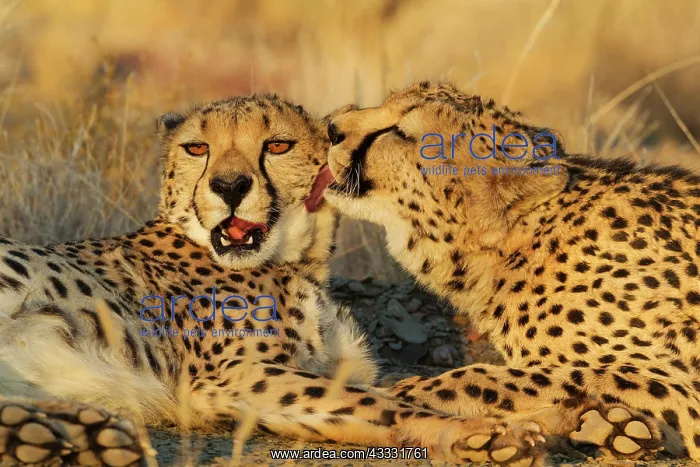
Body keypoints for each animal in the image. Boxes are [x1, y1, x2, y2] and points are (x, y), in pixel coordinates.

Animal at [0, 93, 546, 466]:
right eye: (197, 148)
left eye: (277, 145)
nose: (229, 185)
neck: (296, 262)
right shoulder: (229, 378)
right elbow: (380, 400)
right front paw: (482, 433)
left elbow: (381, 398)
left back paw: (76, 438)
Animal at [323, 80, 700, 462]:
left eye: (402, 133)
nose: (331, 127)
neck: (520, 245)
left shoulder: (680, 390)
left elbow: (500, 377)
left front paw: (402, 392)